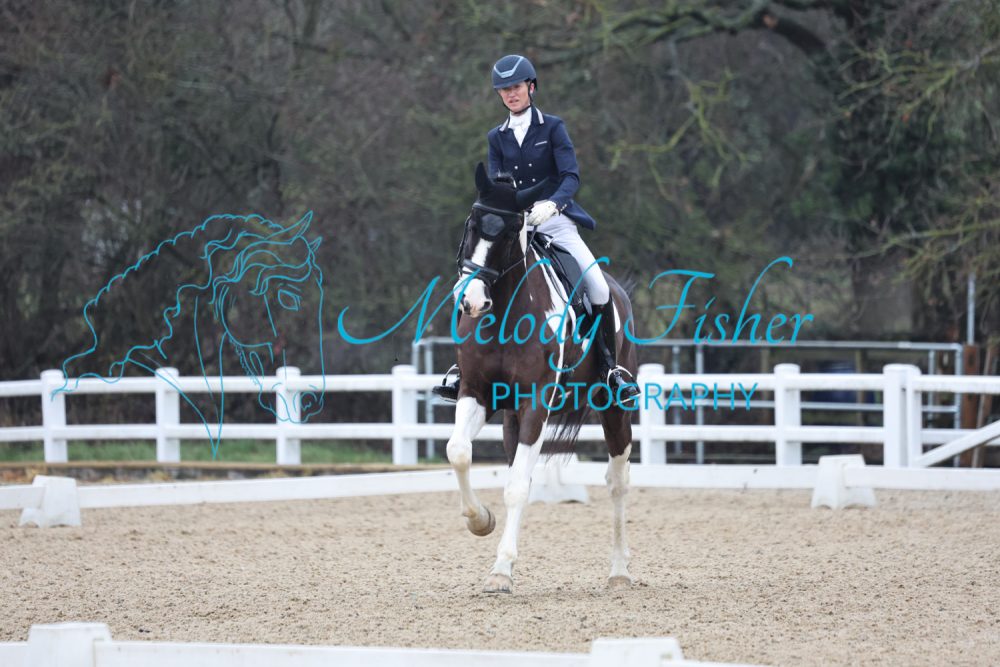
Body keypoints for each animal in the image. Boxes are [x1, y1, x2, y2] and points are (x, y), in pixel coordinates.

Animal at [446, 163, 637, 593]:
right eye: (471, 225)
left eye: (506, 234)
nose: (472, 302)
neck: (504, 314)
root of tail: (618, 291)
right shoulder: (477, 393)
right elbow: (460, 452)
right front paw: (481, 522)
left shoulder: (537, 401)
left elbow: (516, 485)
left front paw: (500, 572)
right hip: (511, 417)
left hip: (614, 407)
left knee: (616, 481)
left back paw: (619, 571)